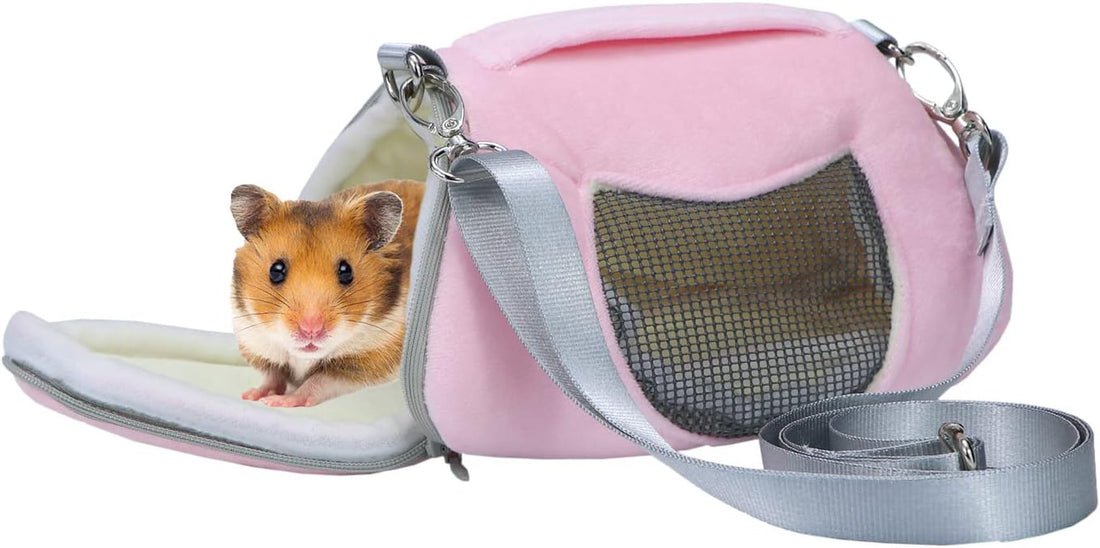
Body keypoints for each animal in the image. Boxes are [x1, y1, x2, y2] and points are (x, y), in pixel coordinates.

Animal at [229, 180, 424, 407]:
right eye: (276, 270)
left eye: (346, 271)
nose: (311, 330)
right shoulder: (259, 343)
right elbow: (273, 375)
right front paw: (251, 395)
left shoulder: (369, 360)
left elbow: (318, 381)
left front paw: (280, 401)